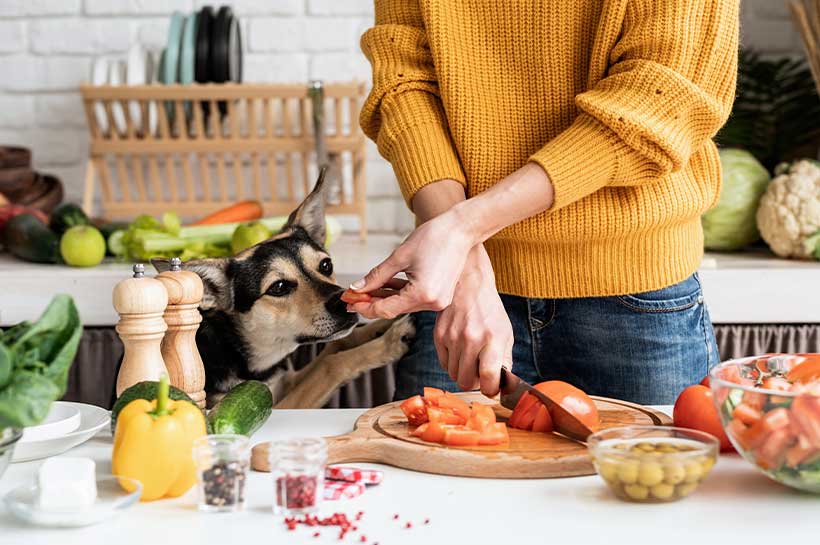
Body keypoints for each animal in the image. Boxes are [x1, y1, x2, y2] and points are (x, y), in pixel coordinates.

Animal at [154, 171, 414, 408]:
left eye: (326, 265)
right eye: (278, 287)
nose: (343, 302)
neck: (239, 349)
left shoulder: (285, 381)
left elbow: (335, 346)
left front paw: (382, 325)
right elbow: (331, 365)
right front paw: (390, 341)